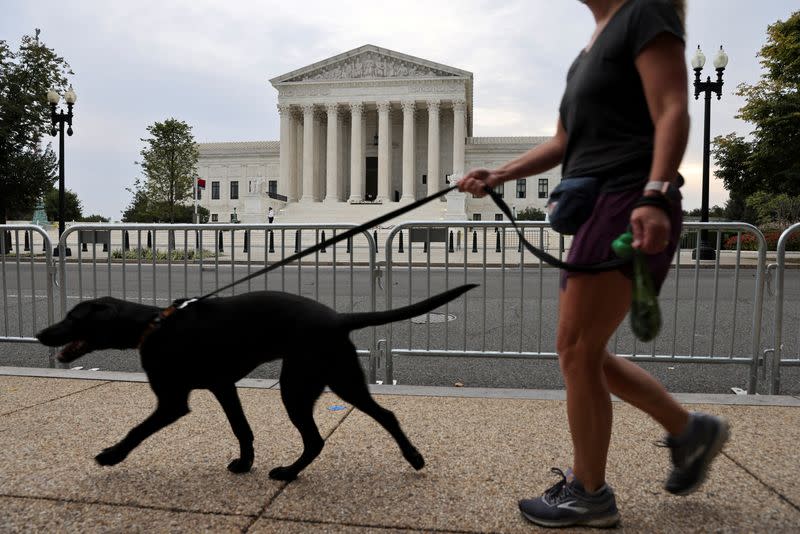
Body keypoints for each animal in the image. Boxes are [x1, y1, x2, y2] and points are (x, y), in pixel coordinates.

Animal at [36, 286, 476, 484]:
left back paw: (289, 472)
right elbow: (242, 429)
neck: (153, 326)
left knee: (320, 438)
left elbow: (135, 430)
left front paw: (111, 456)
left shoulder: (173, 402)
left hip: (299, 386)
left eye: (73, 317)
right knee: (383, 415)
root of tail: (339, 317)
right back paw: (412, 457)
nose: (41, 333)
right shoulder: (223, 386)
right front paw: (245, 462)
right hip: (336, 380)